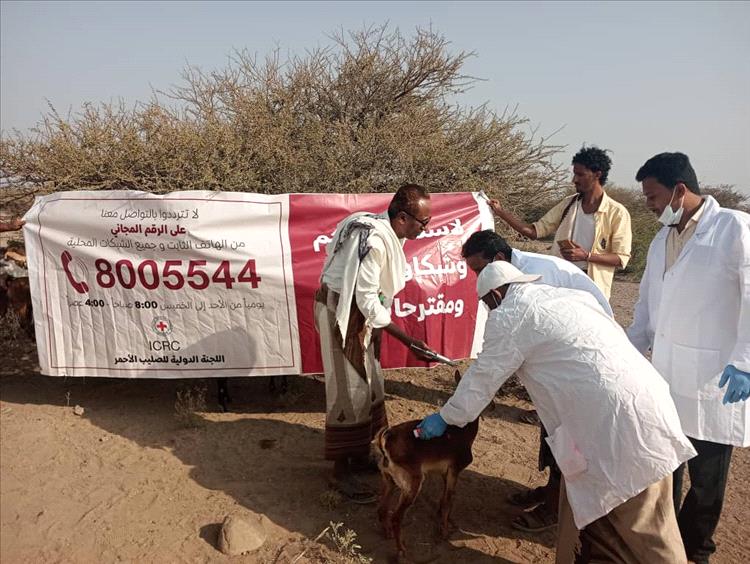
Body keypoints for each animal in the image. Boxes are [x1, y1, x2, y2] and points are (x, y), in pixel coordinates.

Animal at [376, 368, 482, 556]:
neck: (464, 432)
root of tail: (386, 440)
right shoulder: (454, 470)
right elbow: (448, 501)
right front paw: (444, 532)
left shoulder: (444, 473)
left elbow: (443, 498)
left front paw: (441, 518)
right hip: (412, 484)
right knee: (396, 517)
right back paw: (402, 549)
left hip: (389, 480)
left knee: (382, 510)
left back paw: (387, 533)